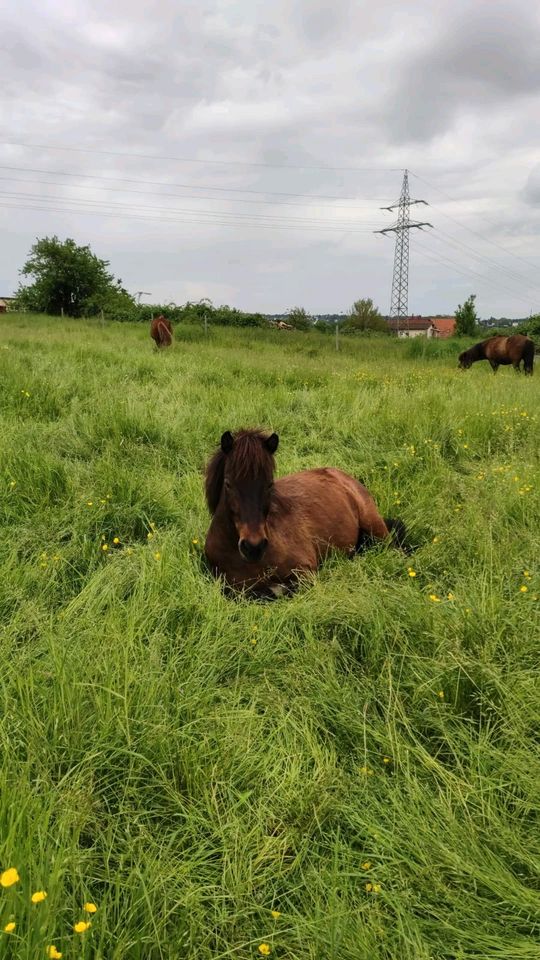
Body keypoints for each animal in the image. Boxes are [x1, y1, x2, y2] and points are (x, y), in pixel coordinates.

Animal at [205, 430, 408, 596]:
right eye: (228, 484)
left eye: (270, 484)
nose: (253, 547)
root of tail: (339, 474)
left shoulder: (306, 572)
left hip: (376, 527)